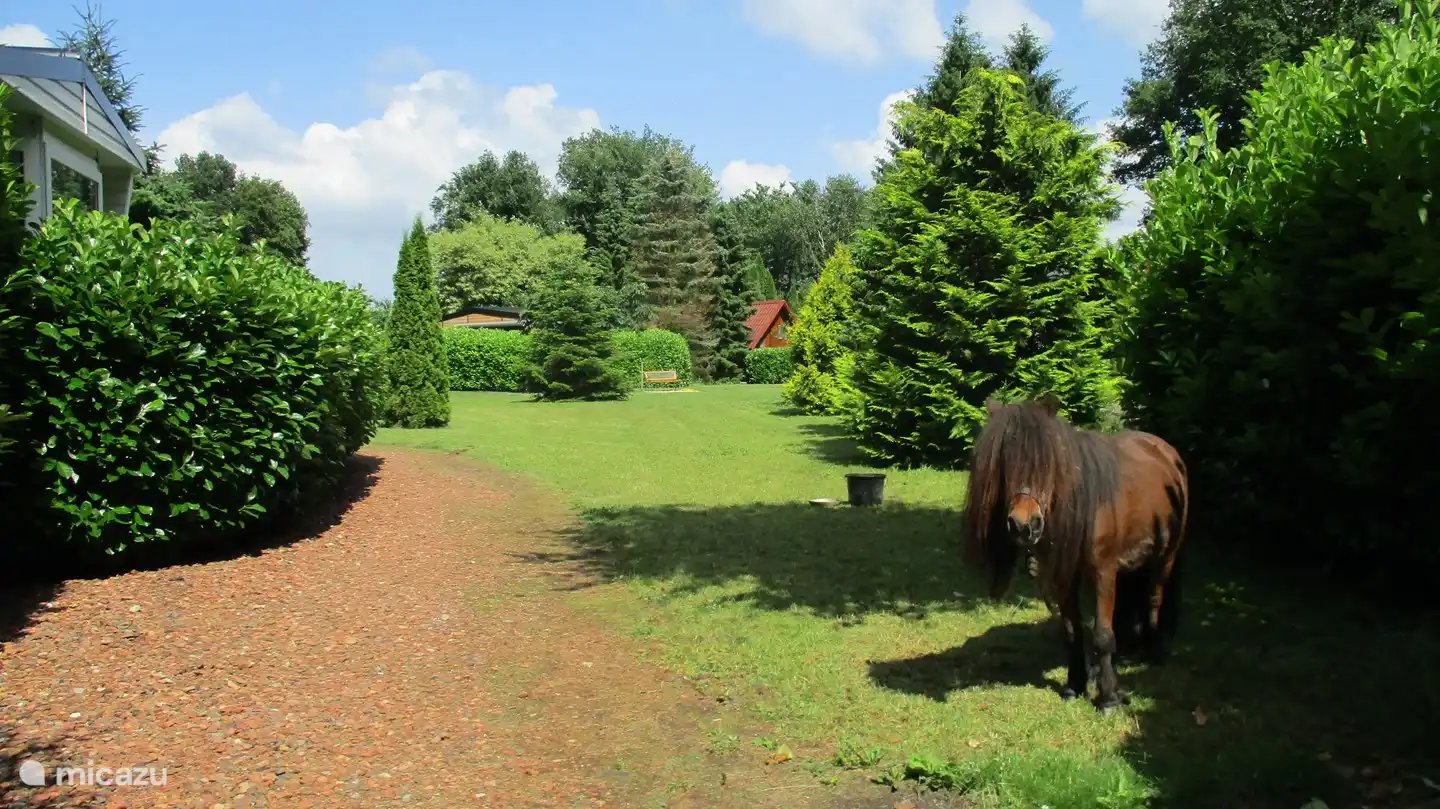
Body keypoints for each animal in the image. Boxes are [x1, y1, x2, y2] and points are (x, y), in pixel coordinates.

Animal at [961, 393, 1189, 713]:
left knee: (1153, 598)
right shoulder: (1064, 577)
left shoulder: (1104, 572)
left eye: (1047, 463)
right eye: (1004, 462)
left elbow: (1103, 633)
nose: (1023, 525)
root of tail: (1166, 451)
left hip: (1166, 555)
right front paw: (1076, 684)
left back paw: (1154, 649)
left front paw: (1108, 698)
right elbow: (1072, 630)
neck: (1084, 507)